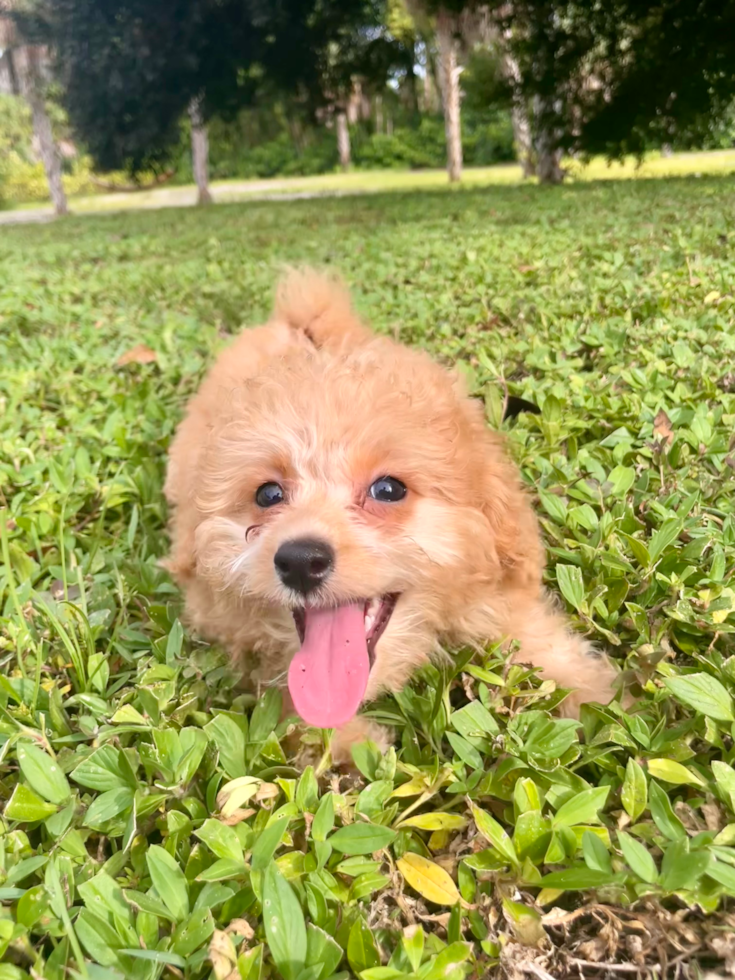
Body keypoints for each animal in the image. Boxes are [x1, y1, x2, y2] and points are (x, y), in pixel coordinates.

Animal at [164, 268, 620, 756]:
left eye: (388, 489)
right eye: (267, 495)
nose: (300, 561)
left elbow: (536, 636)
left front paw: (602, 698)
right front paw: (349, 751)